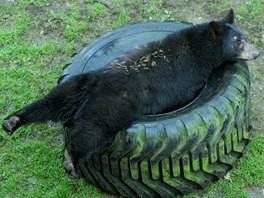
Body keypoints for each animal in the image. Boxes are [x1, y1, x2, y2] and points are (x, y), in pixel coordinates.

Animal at [1, 9, 260, 179]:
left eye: (244, 37)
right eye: (239, 41)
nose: (257, 52)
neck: (200, 45)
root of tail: (94, 90)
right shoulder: (191, 76)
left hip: (77, 85)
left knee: (52, 101)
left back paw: (13, 120)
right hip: (111, 108)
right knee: (90, 132)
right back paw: (70, 159)